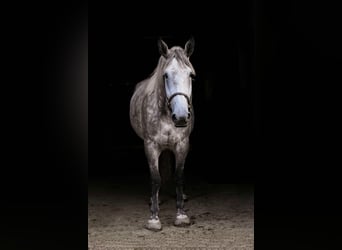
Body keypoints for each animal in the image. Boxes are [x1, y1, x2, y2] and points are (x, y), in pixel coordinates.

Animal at [130, 37, 196, 230]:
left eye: (191, 75)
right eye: (165, 75)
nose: (181, 116)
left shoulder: (182, 144)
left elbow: (179, 176)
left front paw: (181, 215)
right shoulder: (151, 146)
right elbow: (155, 178)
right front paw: (154, 218)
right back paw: (155, 200)